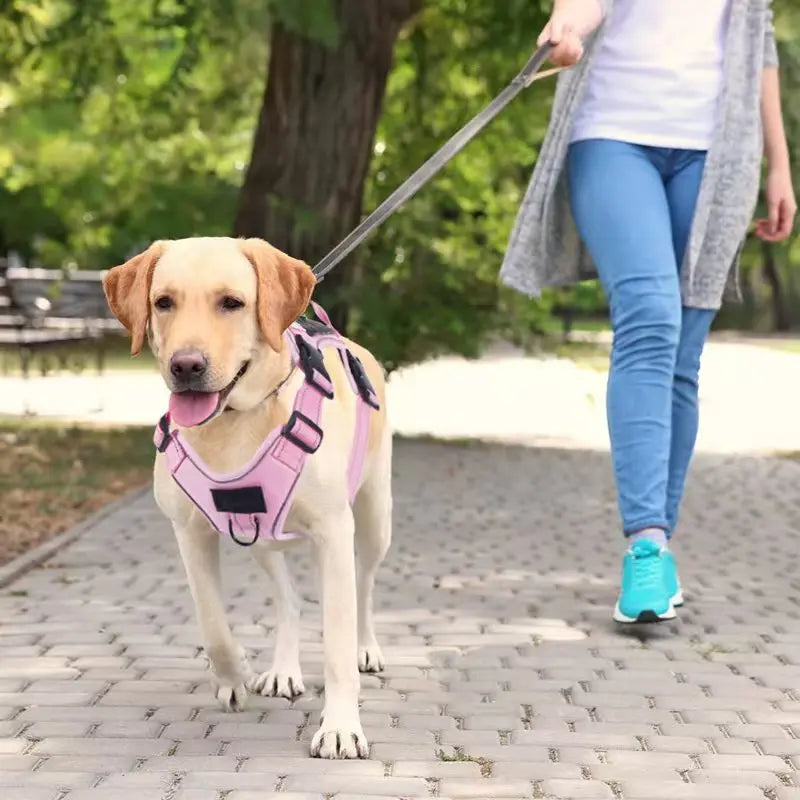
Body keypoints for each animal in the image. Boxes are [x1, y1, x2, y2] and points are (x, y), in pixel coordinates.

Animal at [103, 236, 390, 756]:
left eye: (232, 303)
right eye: (163, 302)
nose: (186, 366)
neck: (235, 420)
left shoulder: (334, 531)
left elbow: (337, 643)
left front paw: (340, 726)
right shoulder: (190, 532)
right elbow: (212, 623)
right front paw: (234, 671)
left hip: (375, 518)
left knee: (363, 585)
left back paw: (366, 648)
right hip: (260, 538)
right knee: (289, 600)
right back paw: (282, 670)